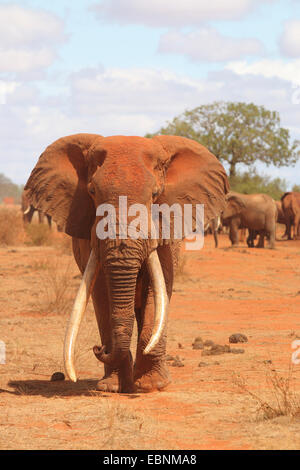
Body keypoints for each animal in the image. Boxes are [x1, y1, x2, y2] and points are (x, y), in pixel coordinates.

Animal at [24, 132, 229, 392]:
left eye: (155, 195)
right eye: (92, 192)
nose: (98, 348)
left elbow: (157, 291)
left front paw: (153, 385)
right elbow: (102, 293)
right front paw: (112, 387)